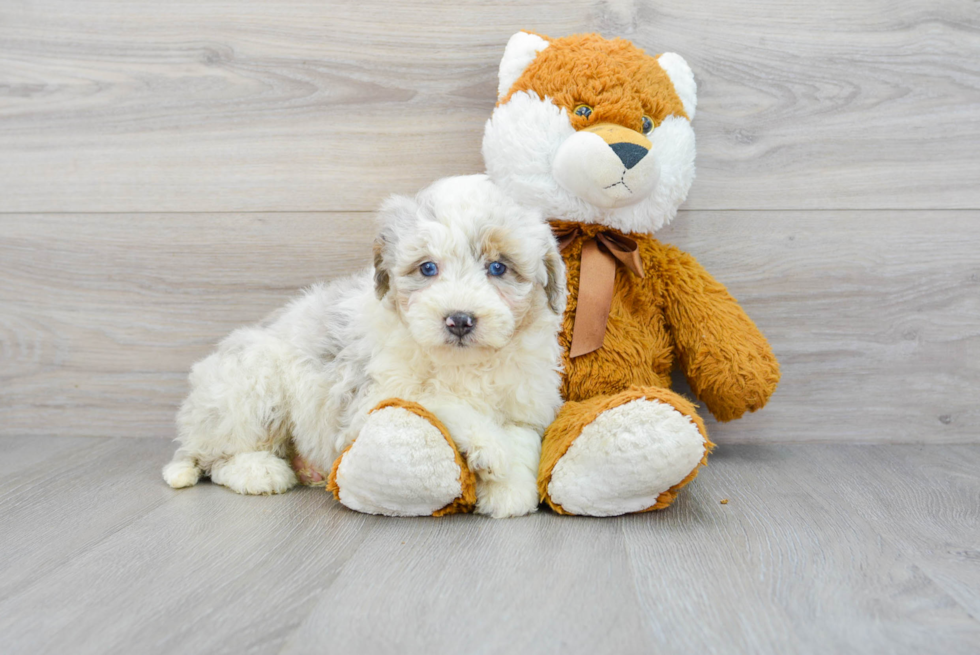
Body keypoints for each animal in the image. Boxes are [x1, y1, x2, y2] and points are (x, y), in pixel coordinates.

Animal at [163, 174, 568, 516]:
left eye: (498, 268)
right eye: (428, 268)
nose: (459, 320)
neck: (463, 364)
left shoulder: (525, 403)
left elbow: (523, 439)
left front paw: (510, 490)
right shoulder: (373, 399)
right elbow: (440, 400)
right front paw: (492, 450)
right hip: (252, 383)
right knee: (218, 460)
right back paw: (260, 472)